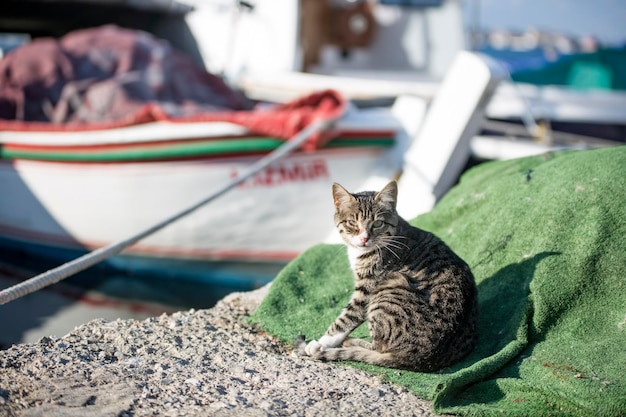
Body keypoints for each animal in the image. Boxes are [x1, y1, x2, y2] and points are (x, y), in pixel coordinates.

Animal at [294, 180, 476, 370]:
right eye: (352, 222)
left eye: (378, 224)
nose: (364, 239)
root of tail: (421, 359)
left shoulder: (367, 289)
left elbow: (346, 318)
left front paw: (319, 343)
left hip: (391, 284)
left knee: (378, 347)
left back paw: (350, 342)